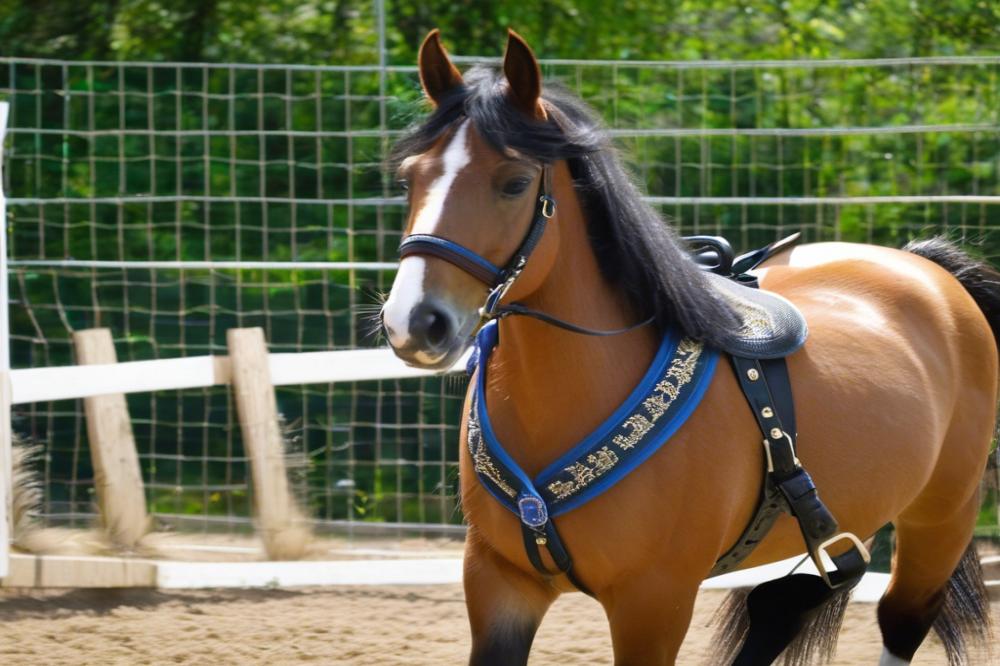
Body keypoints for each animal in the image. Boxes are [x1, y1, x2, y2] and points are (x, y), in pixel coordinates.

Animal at [378, 31, 996, 664]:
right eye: (408, 179)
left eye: (515, 182)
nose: (416, 322)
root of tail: (925, 267)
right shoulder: (500, 581)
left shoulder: (654, 601)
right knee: (783, 610)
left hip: (940, 521)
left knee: (901, 617)